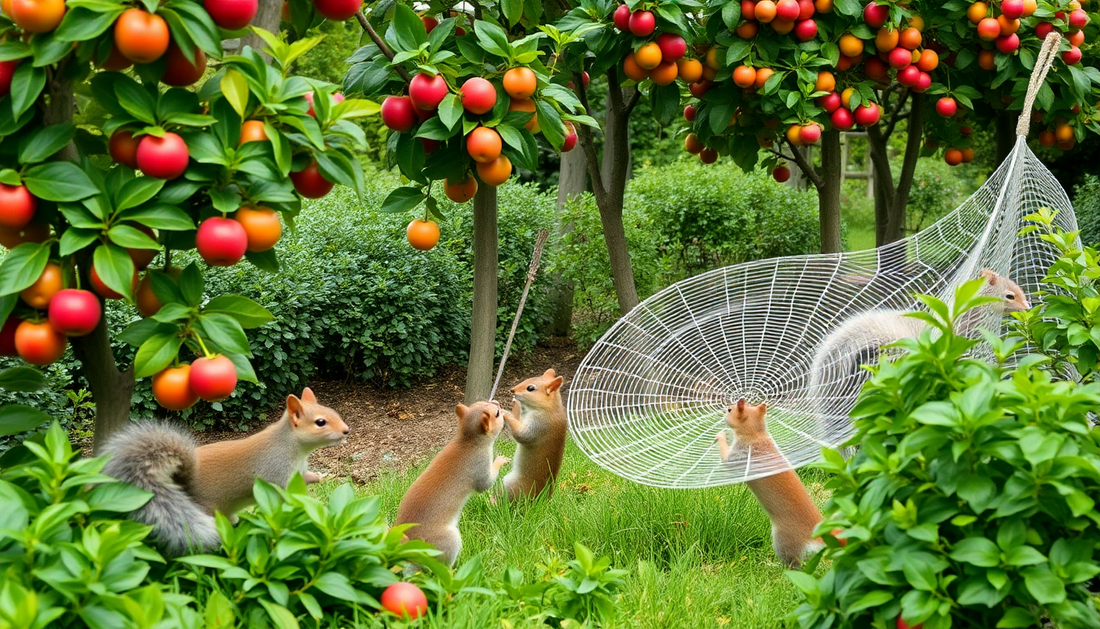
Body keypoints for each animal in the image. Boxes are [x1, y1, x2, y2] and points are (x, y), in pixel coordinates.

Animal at [101, 387, 349, 557]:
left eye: (334, 412)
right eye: (320, 422)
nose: (347, 430)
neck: (294, 447)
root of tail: (180, 482)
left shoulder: (299, 469)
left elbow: (306, 477)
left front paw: (320, 477)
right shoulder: (275, 470)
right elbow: (283, 491)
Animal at [393, 401, 509, 567]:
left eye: (478, 403)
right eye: (497, 414)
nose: (498, 403)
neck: (467, 441)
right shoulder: (479, 466)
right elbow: (486, 484)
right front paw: (500, 460)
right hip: (447, 541)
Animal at [502, 369, 568, 502]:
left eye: (530, 388)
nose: (512, 390)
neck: (551, 408)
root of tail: (541, 499)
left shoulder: (538, 426)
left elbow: (521, 435)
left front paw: (504, 412)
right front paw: (515, 405)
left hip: (512, 485)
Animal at [717, 399, 825, 568]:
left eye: (729, 410)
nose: (723, 412)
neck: (757, 434)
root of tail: (817, 536)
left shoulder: (737, 455)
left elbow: (726, 456)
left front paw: (721, 435)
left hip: (783, 541)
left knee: (793, 564)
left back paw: (772, 565)